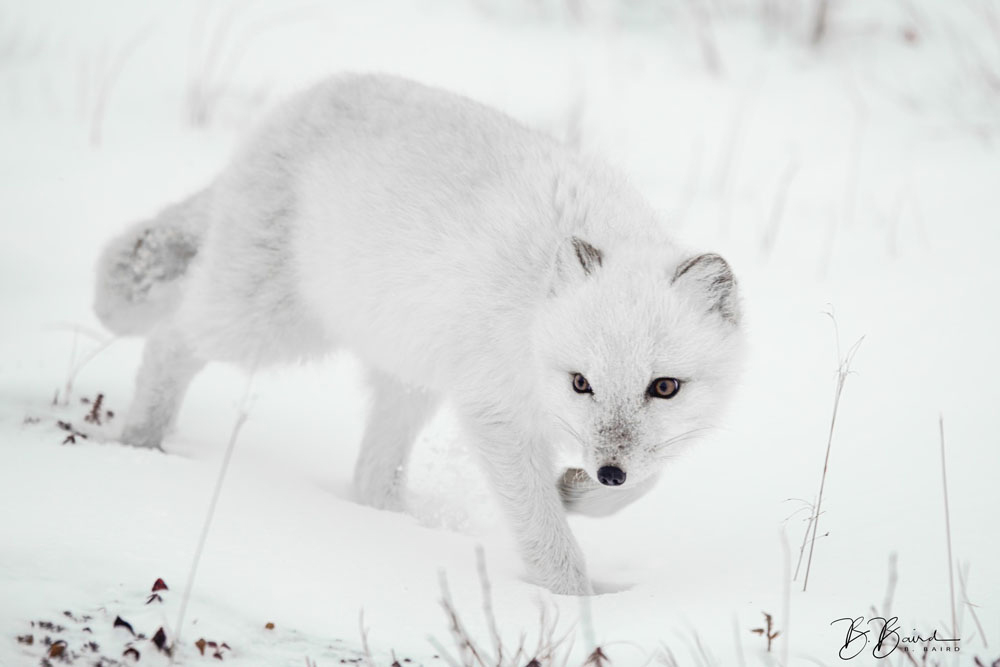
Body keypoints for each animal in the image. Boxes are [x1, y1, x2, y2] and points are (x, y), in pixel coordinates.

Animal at [94, 73, 744, 596]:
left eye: (664, 387)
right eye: (581, 382)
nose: (607, 470)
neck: (531, 314)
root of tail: (290, 106)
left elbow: (646, 480)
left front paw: (579, 494)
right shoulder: (495, 414)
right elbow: (545, 532)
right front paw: (574, 608)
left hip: (407, 379)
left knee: (370, 477)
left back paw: (393, 528)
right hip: (268, 326)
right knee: (170, 340)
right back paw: (142, 441)